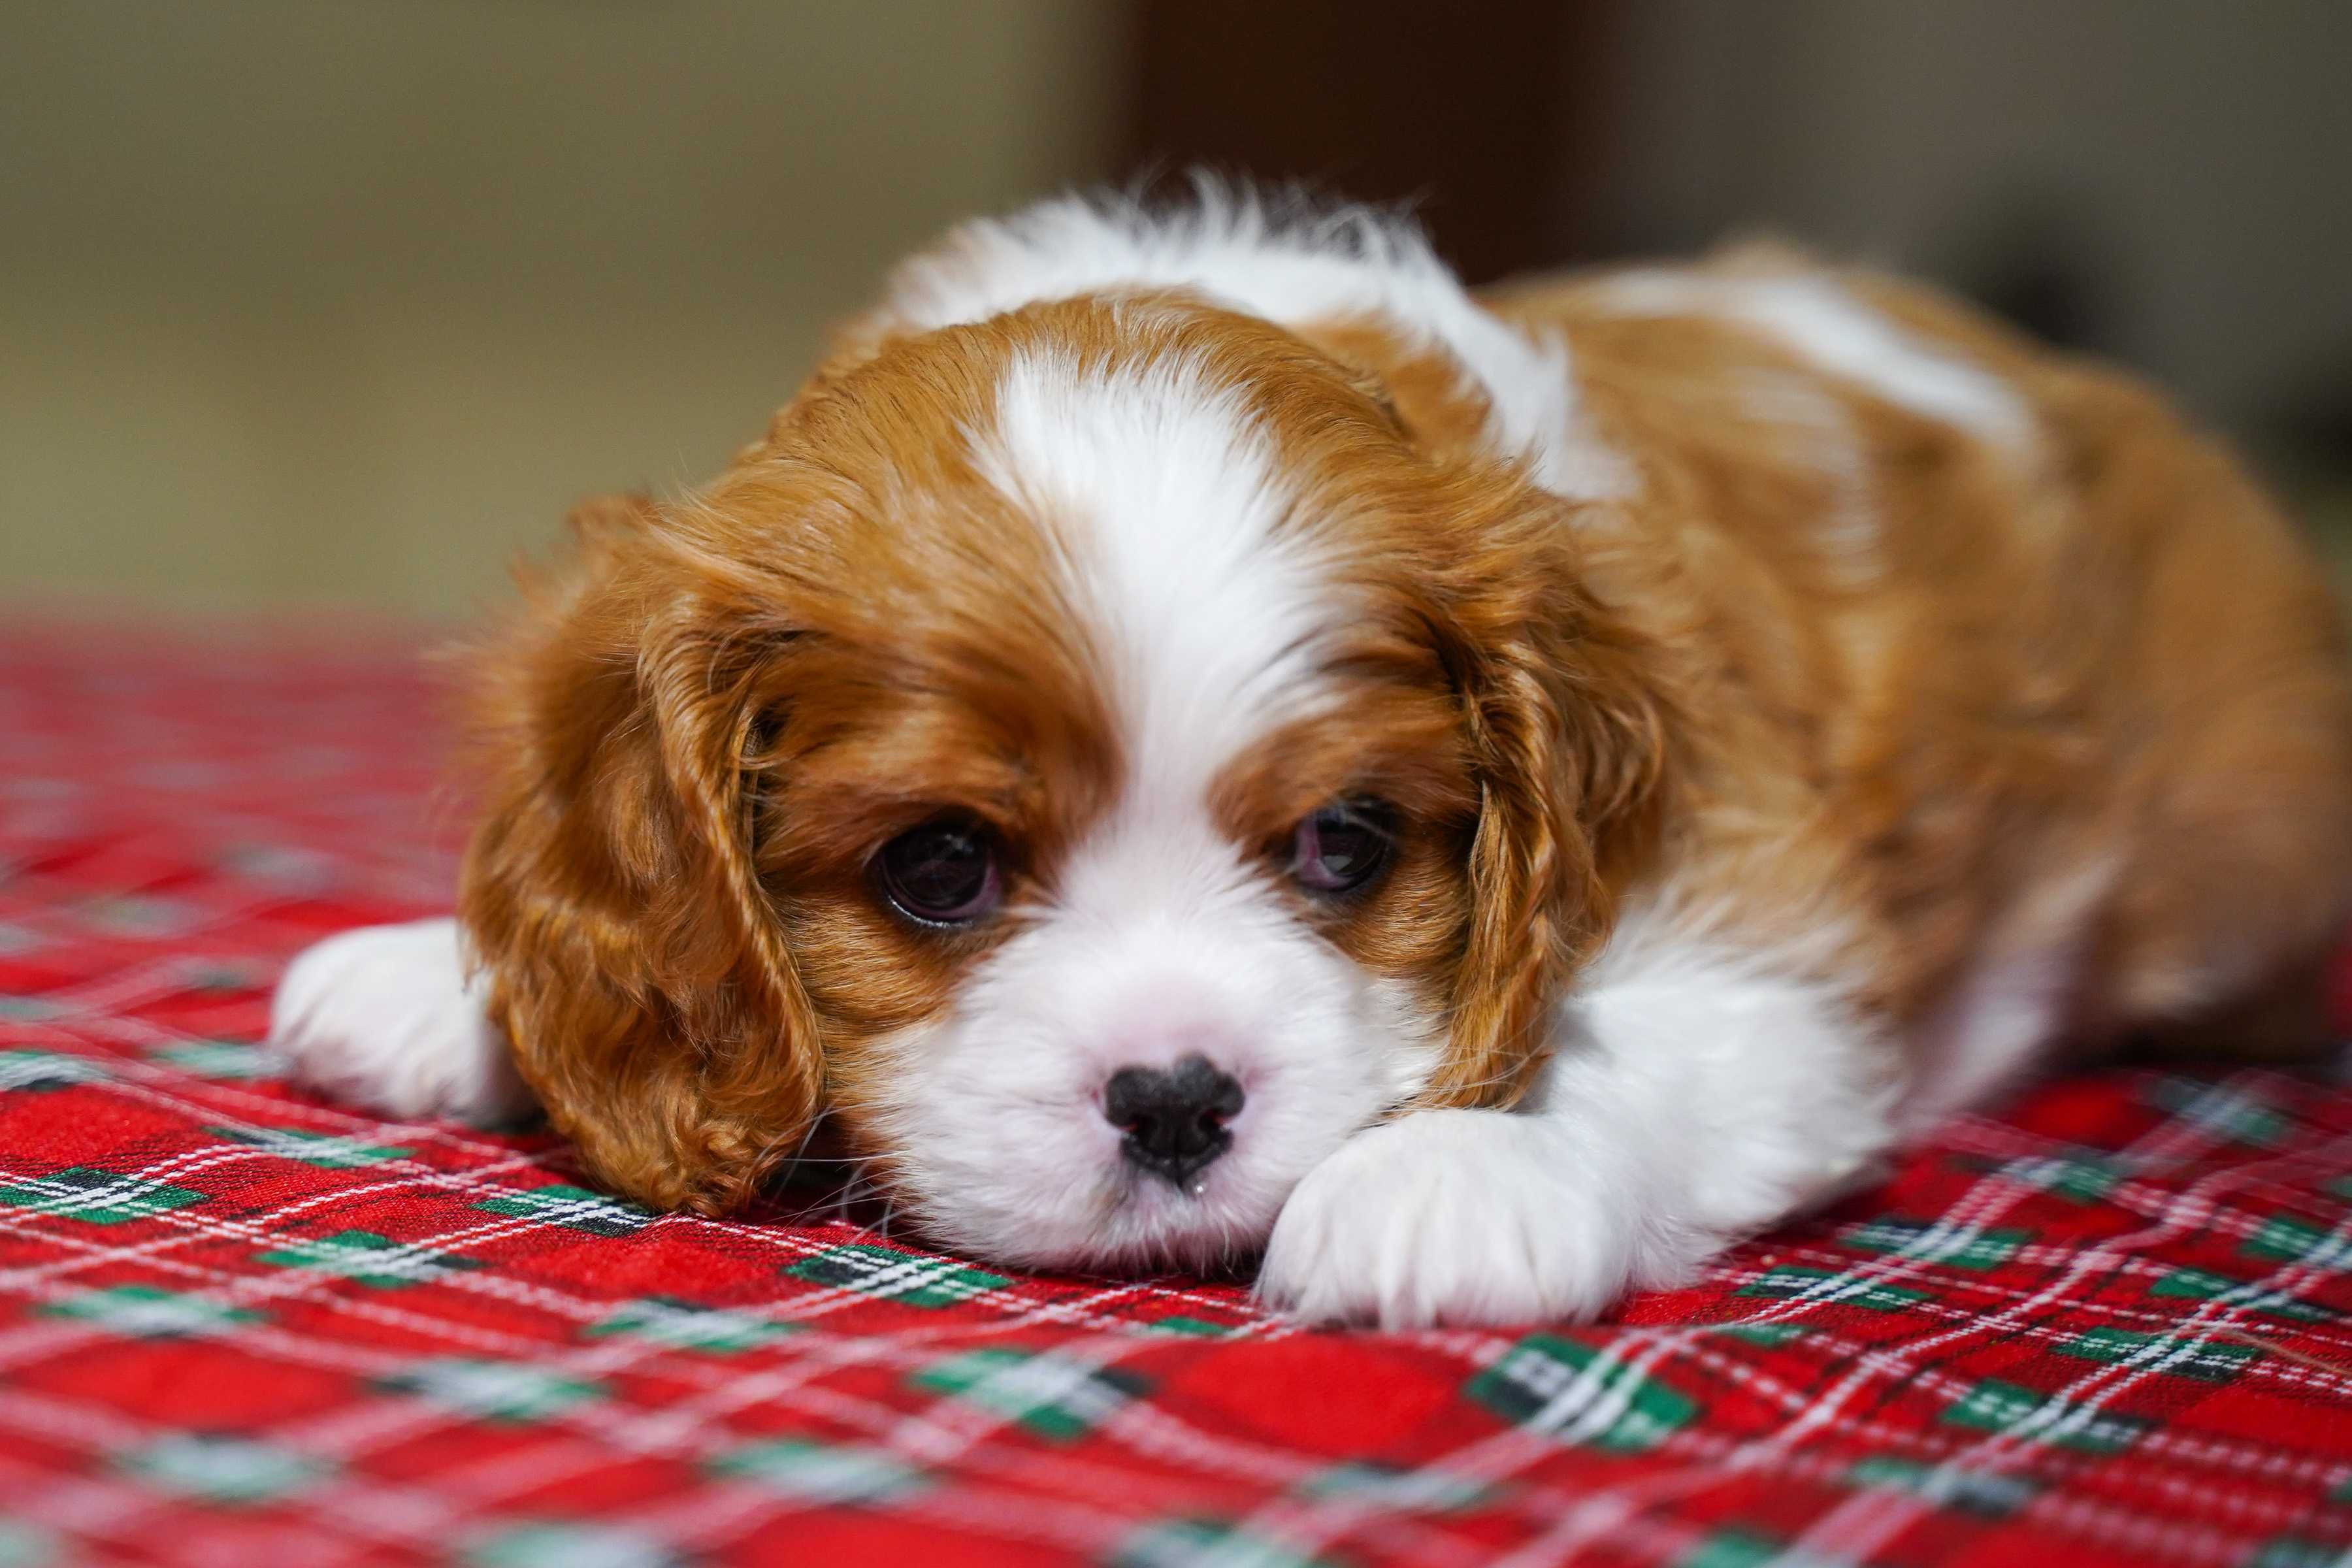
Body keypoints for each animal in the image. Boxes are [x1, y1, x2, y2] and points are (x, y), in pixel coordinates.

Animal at [275, 190, 2352, 1335]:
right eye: (939, 867)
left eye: (1349, 844)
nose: (1178, 1100)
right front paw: (445, 979)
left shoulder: (1766, 916)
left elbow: (1652, 1035)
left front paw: (1458, 1171)